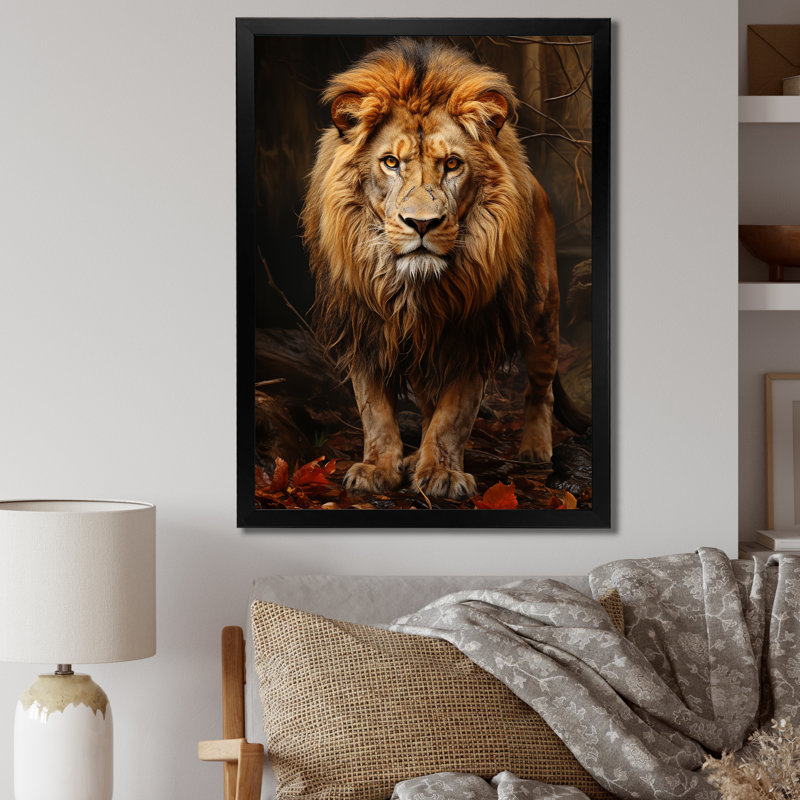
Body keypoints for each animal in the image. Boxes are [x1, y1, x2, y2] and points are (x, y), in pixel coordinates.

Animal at [301, 38, 586, 501]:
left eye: (452, 164)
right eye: (390, 163)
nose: (422, 224)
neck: (414, 287)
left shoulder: (475, 331)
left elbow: (454, 414)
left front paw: (442, 474)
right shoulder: (367, 326)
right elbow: (374, 411)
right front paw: (378, 468)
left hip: (543, 315)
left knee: (539, 389)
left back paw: (534, 449)